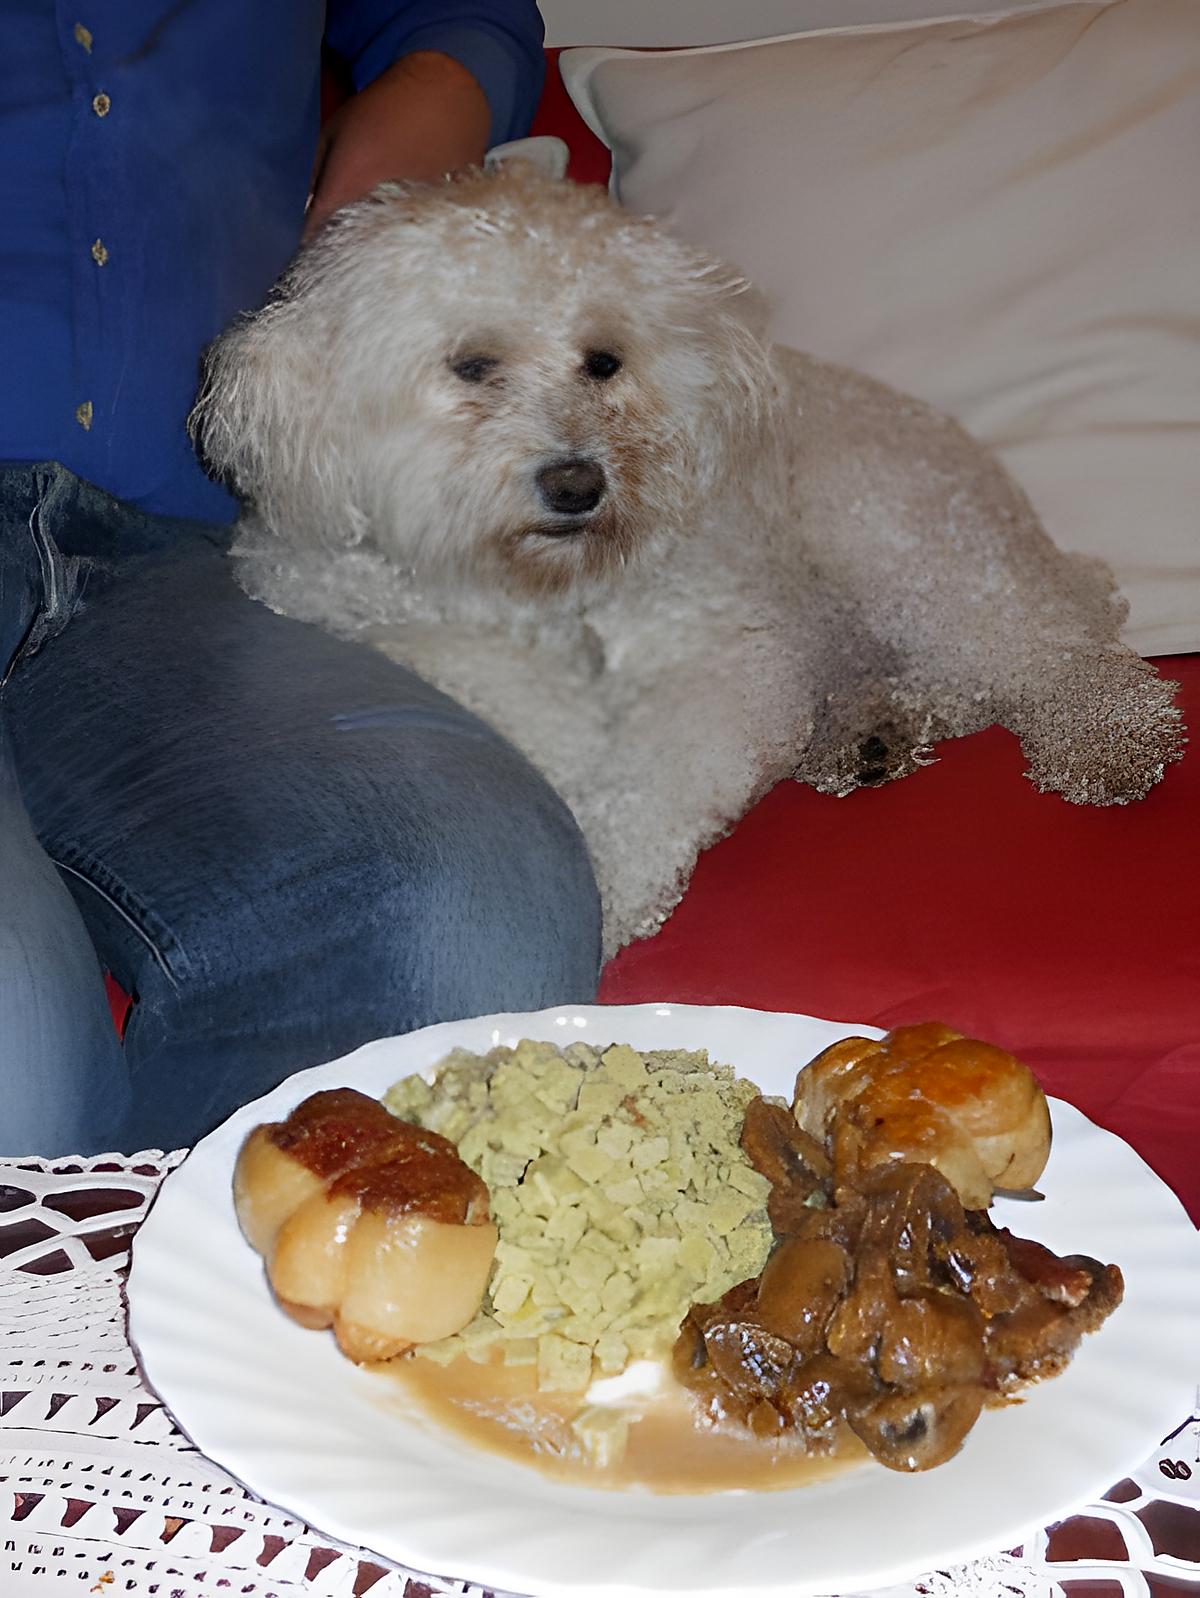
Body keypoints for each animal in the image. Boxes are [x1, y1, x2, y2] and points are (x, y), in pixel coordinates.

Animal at [194, 168, 1182, 952]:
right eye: (472, 365)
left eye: (603, 361)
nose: (577, 483)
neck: (543, 591)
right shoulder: (362, 612)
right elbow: (506, 694)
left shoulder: (726, 666)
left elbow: (646, 792)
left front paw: (602, 900)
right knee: (956, 676)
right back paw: (869, 731)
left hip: (893, 537)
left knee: (1046, 651)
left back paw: (1108, 739)